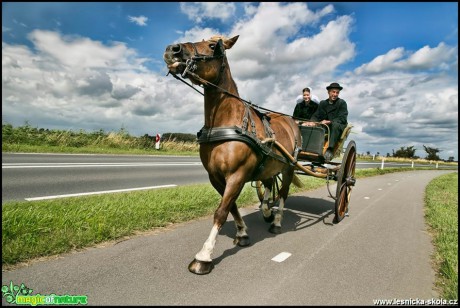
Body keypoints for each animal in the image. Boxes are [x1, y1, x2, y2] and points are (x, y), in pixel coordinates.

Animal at [164, 34, 304, 274]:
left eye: (213, 45)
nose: (173, 49)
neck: (227, 122)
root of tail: (291, 122)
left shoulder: (237, 175)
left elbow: (221, 211)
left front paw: (204, 256)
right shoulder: (216, 177)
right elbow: (231, 206)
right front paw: (242, 233)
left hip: (289, 167)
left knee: (283, 193)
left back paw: (276, 221)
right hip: (269, 166)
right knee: (269, 184)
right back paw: (266, 211)